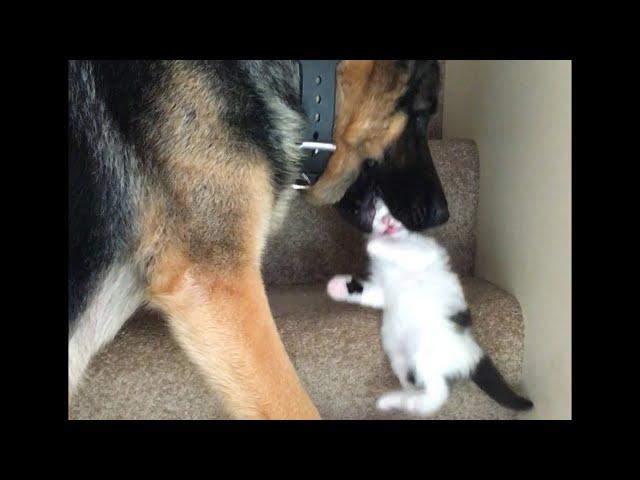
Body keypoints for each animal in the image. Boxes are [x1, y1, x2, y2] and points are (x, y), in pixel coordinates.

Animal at [328, 199, 532, 416]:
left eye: (391, 209)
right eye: (373, 212)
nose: (387, 222)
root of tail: (470, 353)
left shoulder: (425, 252)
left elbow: (404, 251)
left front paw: (376, 245)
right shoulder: (382, 291)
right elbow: (370, 293)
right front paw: (338, 287)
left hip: (426, 352)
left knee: (438, 394)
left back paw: (398, 402)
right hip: (399, 354)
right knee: (415, 382)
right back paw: (399, 400)